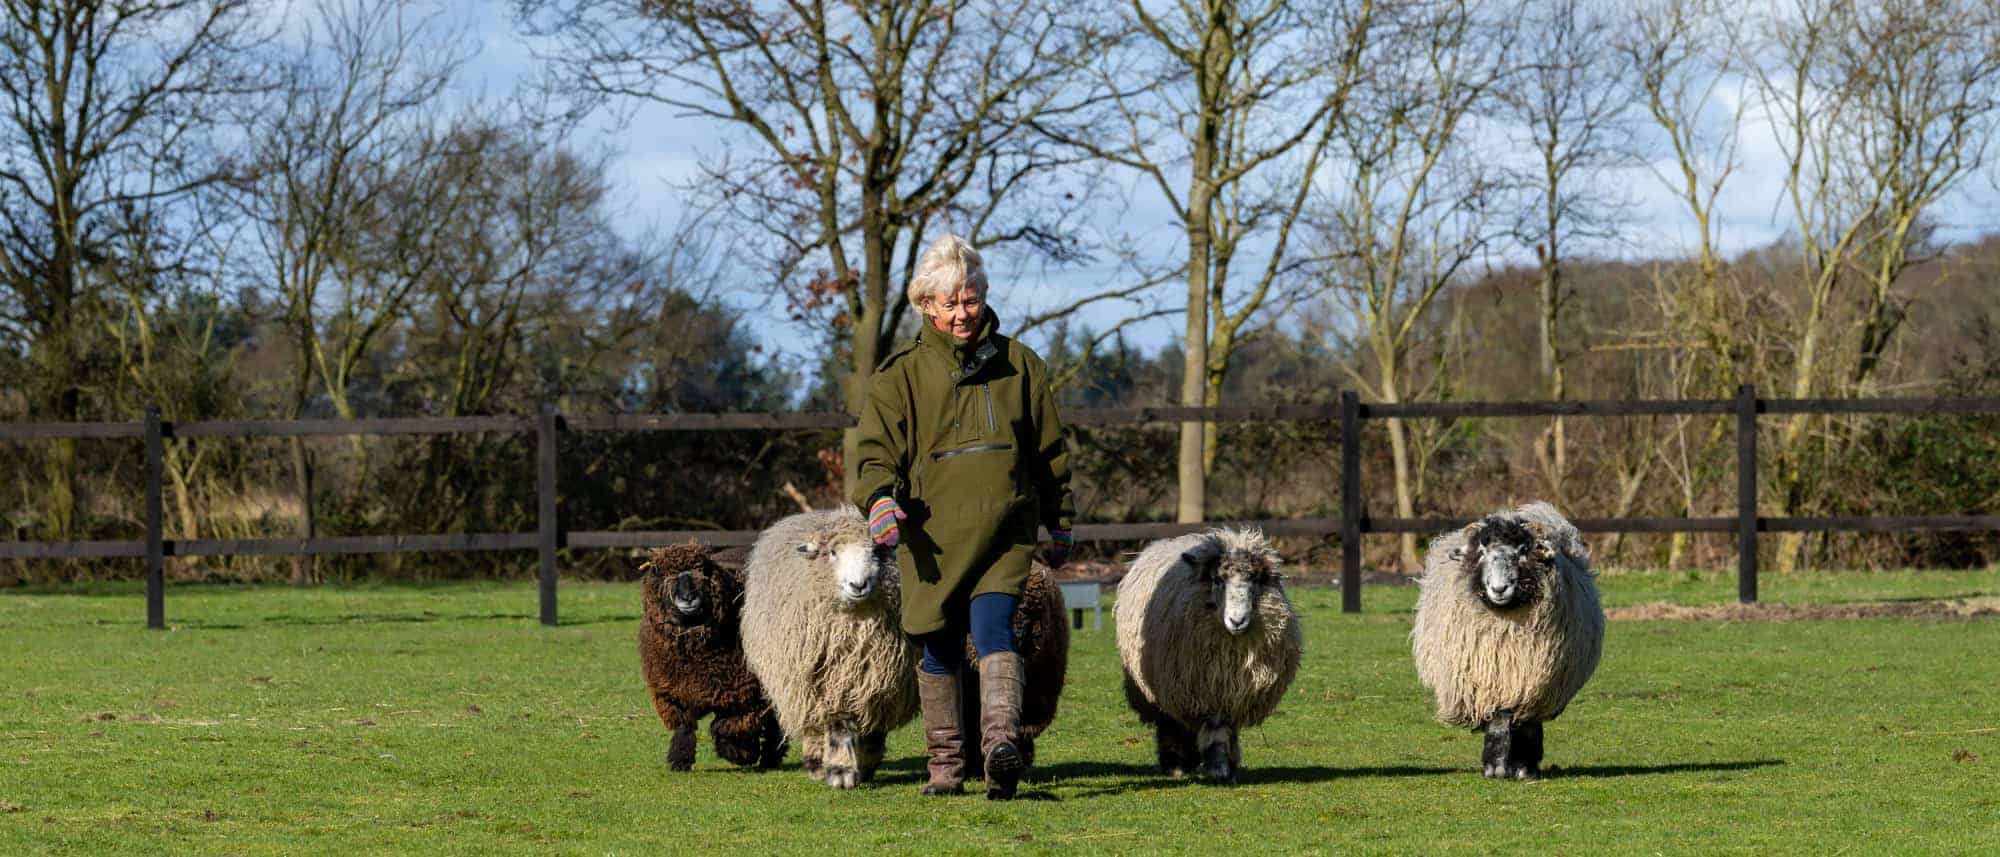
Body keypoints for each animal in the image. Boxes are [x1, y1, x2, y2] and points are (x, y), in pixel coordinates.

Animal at [637, 542, 786, 771]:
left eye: (704, 570)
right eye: (659, 571)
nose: (688, 597)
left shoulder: (745, 693)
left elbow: (725, 725)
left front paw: (741, 753)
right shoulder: (675, 694)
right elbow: (685, 727)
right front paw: (680, 759)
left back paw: (770, 756)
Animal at [740, 508, 920, 789]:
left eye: (876, 552)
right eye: (833, 552)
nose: (858, 585)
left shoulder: (881, 678)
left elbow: (874, 726)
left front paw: (866, 765)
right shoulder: (833, 681)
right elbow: (839, 728)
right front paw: (840, 772)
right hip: (803, 681)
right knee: (814, 725)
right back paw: (816, 763)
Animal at [1116, 528, 1301, 785]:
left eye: (1254, 581)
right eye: (1218, 580)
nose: (1237, 621)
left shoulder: (1233, 689)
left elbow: (1227, 728)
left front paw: (1229, 765)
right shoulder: (1202, 686)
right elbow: (1214, 727)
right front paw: (1218, 767)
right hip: (1161, 684)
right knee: (1170, 721)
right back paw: (1175, 763)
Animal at [1411, 501, 1604, 781]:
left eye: (1523, 551)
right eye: (1482, 551)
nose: (1499, 589)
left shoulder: (1531, 677)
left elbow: (1523, 722)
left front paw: (1521, 766)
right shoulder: (1490, 677)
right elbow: (1498, 719)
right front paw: (1495, 766)